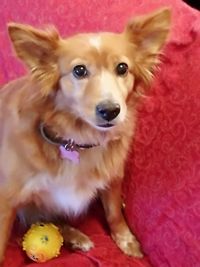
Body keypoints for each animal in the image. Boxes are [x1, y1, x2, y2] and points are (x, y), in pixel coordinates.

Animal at [0, 8, 170, 266]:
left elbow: (114, 212)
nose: (110, 110)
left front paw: (126, 240)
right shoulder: (7, 198)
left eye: (122, 68)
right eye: (79, 71)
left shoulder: (113, 175)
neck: (77, 140)